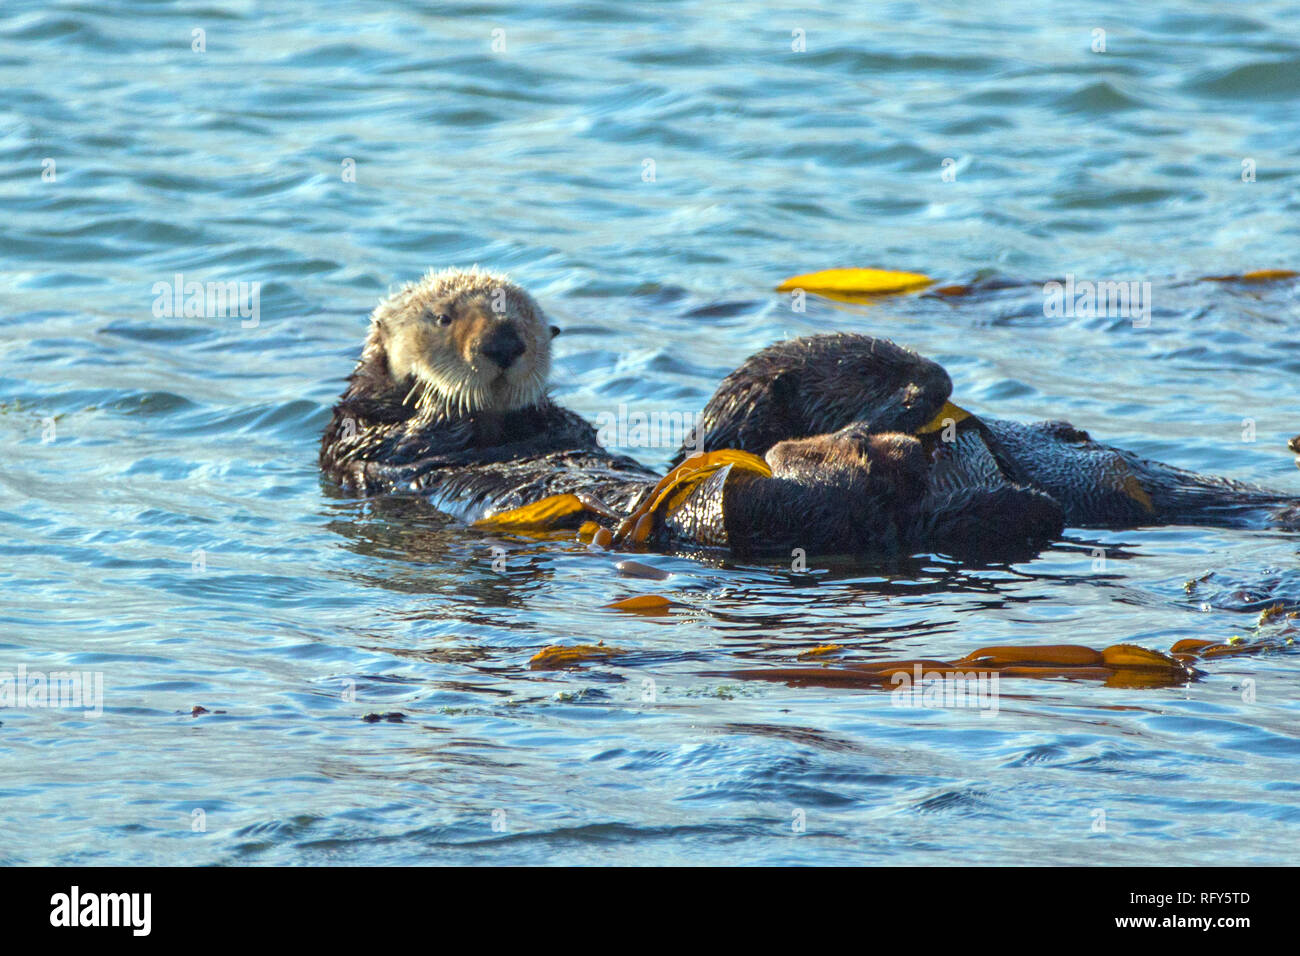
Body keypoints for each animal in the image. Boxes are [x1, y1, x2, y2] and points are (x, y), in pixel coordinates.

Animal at [320, 270, 1062, 557]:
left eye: (526, 318)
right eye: (443, 318)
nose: (505, 343)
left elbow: (571, 427)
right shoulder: (364, 446)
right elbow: (403, 434)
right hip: (740, 508)